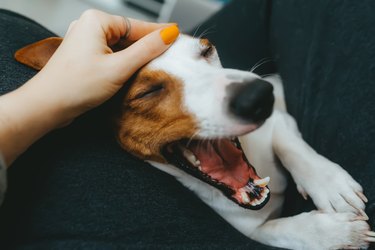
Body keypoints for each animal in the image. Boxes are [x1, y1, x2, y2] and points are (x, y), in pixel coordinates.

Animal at [14, 34, 375, 249]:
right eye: (148, 91)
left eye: (207, 49)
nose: (258, 96)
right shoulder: (247, 230)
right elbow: (278, 232)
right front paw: (333, 234)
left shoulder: (279, 113)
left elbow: (290, 142)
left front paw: (328, 184)